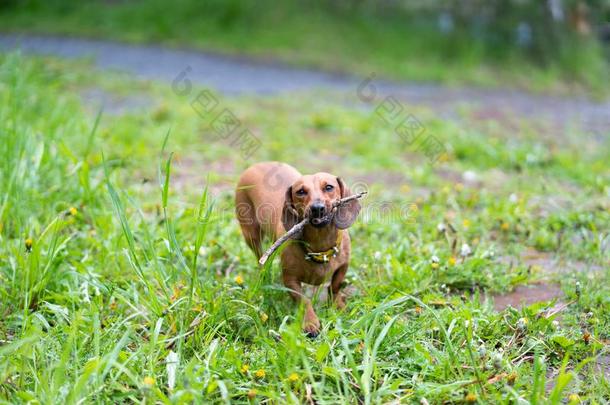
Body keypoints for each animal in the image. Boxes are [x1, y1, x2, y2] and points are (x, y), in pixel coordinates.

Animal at [234, 161, 358, 334]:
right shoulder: (290, 280)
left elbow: (335, 286)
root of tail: (257, 164)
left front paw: (338, 305)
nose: (317, 208)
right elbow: (304, 300)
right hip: (251, 235)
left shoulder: (343, 266)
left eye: (329, 187)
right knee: (260, 258)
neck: (320, 248)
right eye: (301, 191)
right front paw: (310, 321)